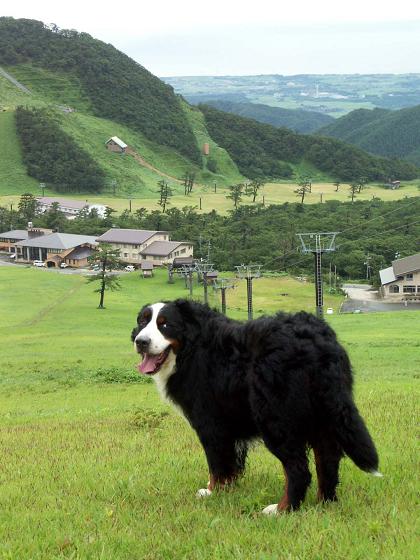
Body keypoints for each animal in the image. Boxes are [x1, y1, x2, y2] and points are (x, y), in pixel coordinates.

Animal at [131, 300, 380, 516]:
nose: (141, 341)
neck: (191, 349)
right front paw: (227, 488)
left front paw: (212, 492)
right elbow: (229, 463)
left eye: (165, 324)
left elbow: (216, 463)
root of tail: (318, 338)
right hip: (323, 417)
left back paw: (282, 509)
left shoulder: (210, 423)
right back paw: (324, 503)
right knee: (327, 461)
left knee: (298, 469)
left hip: (274, 419)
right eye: (143, 321)